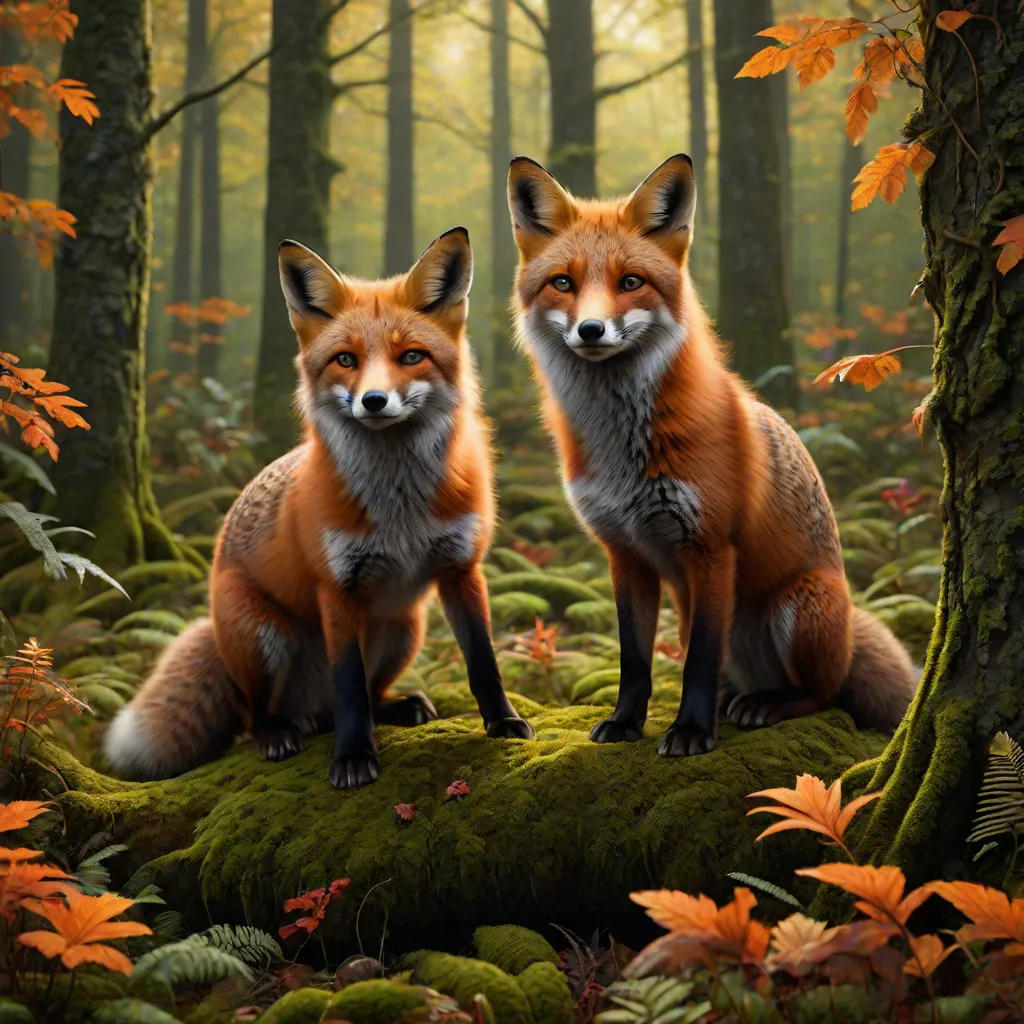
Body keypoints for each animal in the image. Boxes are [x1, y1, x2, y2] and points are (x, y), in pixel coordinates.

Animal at [105, 227, 533, 788]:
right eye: (345, 360)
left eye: (411, 357)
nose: (374, 400)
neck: (400, 508)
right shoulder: (337, 587)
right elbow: (348, 683)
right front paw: (353, 758)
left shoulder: (461, 569)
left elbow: (483, 660)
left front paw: (503, 721)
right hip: (266, 637)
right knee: (257, 713)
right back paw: (280, 733)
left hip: (405, 627)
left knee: (357, 699)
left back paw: (396, 708)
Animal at [507, 154, 917, 757]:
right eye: (564, 283)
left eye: (631, 282)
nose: (591, 329)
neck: (622, 450)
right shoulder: (624, 553)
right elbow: (634, 660)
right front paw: (626, 722)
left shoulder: (712, 546)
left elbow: (699, 659)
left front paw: (693, 732)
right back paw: (735, 701)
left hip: (797, 604)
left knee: (824, 693)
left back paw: (765, 705)